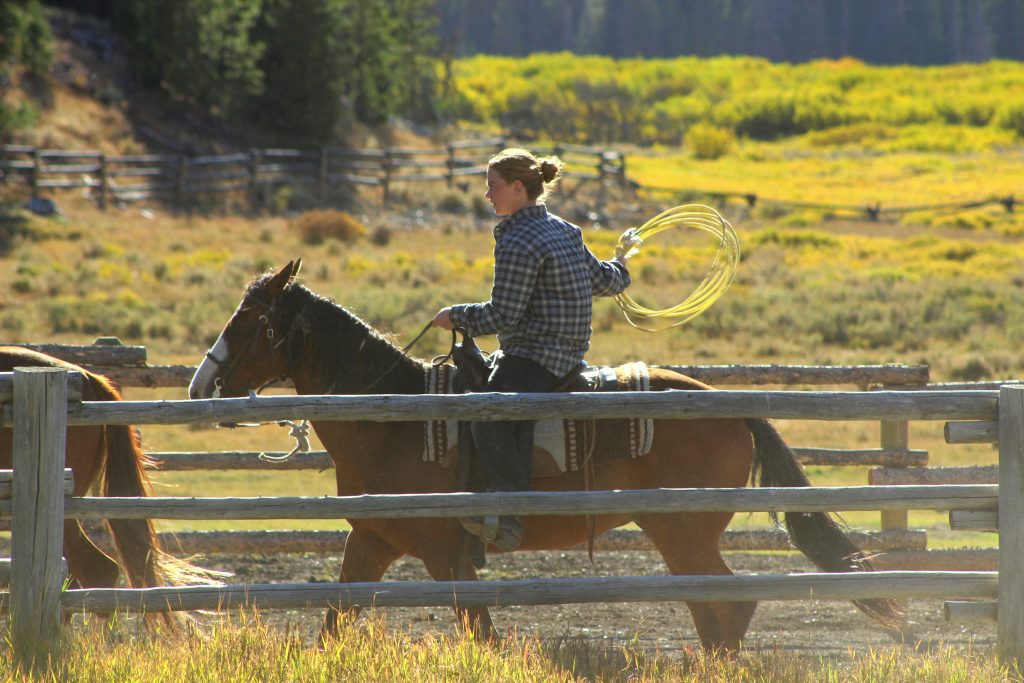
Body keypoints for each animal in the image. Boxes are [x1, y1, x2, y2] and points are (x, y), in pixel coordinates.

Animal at [188, 262, 901, 651]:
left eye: (248, 320)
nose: (201, 384)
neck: (395, 421)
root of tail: (729, 407)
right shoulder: (373, 541)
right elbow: (334, 623)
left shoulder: (446, 554)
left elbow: (479, 630)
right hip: (681, 538)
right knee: (717, 611)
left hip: (682, 533)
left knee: (728, 608)